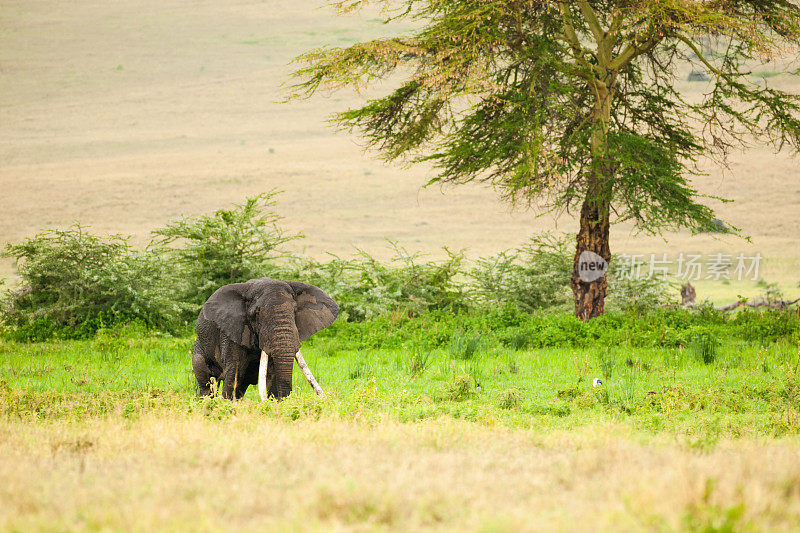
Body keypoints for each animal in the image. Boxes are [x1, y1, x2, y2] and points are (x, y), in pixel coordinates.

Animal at [192, 278, 340, 400]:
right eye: (257, 313)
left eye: (294, 311)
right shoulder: (231, 332)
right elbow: (234, 373)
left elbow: (273, 374)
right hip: (199, 348)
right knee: (206, 385)